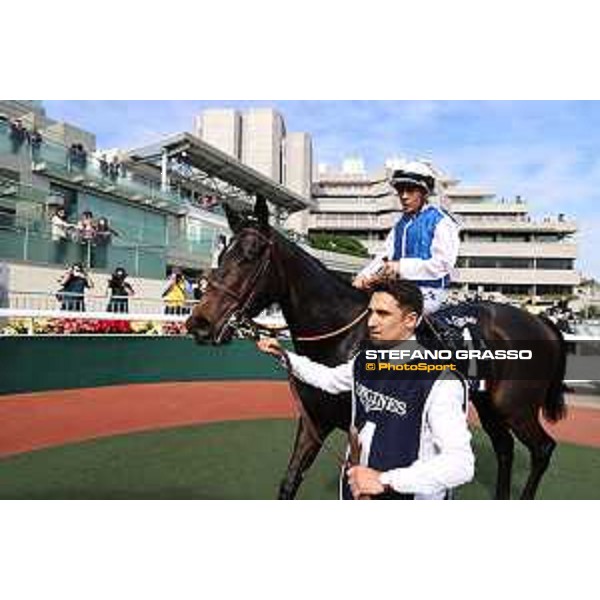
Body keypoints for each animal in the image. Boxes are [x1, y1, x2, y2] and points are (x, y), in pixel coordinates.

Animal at [188, 199, 568, 500]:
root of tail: (540, 322)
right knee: (505, 448)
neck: (340, 337)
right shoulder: (313, 423)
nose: (199, 323)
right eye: (223, 253)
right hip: (490, 406)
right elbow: (289, 482)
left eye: (251, 256)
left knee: (542, 449)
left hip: (516, 407)